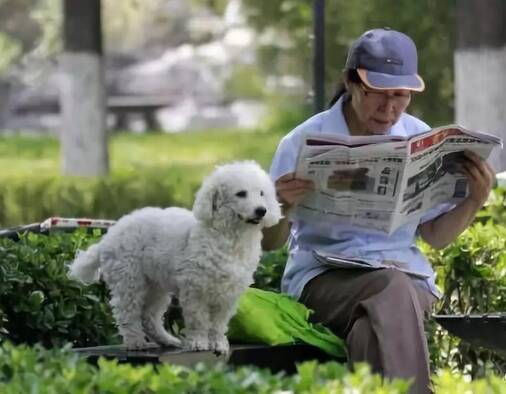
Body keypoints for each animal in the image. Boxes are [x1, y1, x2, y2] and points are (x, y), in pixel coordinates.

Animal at [68, 162, 280, 352]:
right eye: (241, 193)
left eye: (262, 193)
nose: (262, 210)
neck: (229, 237)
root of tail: (109, 236)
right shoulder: (195, 288)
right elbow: (198, 319)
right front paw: (198, 343)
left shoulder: (228, 294)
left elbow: (219, 323)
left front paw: (218, 343)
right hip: (130, 280)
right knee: (127, 313)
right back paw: (135, 342)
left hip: (155, 285)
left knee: (149, 317)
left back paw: (167, 340)